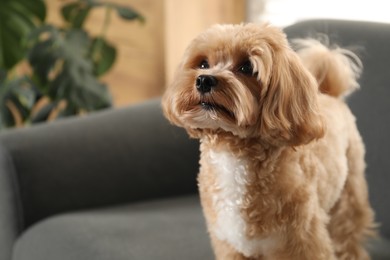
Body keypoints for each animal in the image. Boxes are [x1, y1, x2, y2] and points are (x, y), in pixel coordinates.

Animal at [161, 22, 374, 260]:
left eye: (247, 67)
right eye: (203, 63)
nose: (204, 79)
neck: (233, 155)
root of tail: (329, 93)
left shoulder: (304, 241)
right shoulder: (230, 243)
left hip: (350, 188)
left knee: (349, 229)